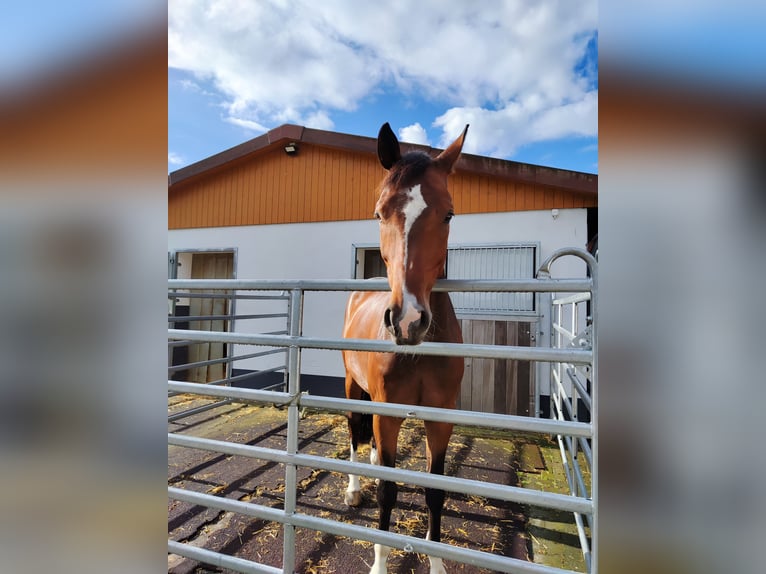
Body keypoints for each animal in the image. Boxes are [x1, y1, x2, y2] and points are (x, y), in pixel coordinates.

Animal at [342, 122, 468, 574]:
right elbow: (388, 491)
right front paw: (379, 564)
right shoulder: (388, 413)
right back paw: (353, 488)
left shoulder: (441, 416)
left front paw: (438, 564)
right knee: (356, 436)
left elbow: (434, 491)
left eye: (448, 214)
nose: (408, 320)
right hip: (353, 389)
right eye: (379, 213)